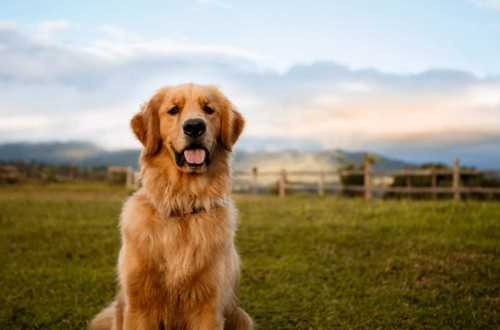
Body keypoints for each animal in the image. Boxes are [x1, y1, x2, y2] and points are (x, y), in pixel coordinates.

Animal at [90, 84, 252, 328]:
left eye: (209, 109)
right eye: (174, 110)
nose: (194, 126)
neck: (182, 204)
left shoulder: (209, 306)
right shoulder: (139, 305)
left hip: (241, 316)